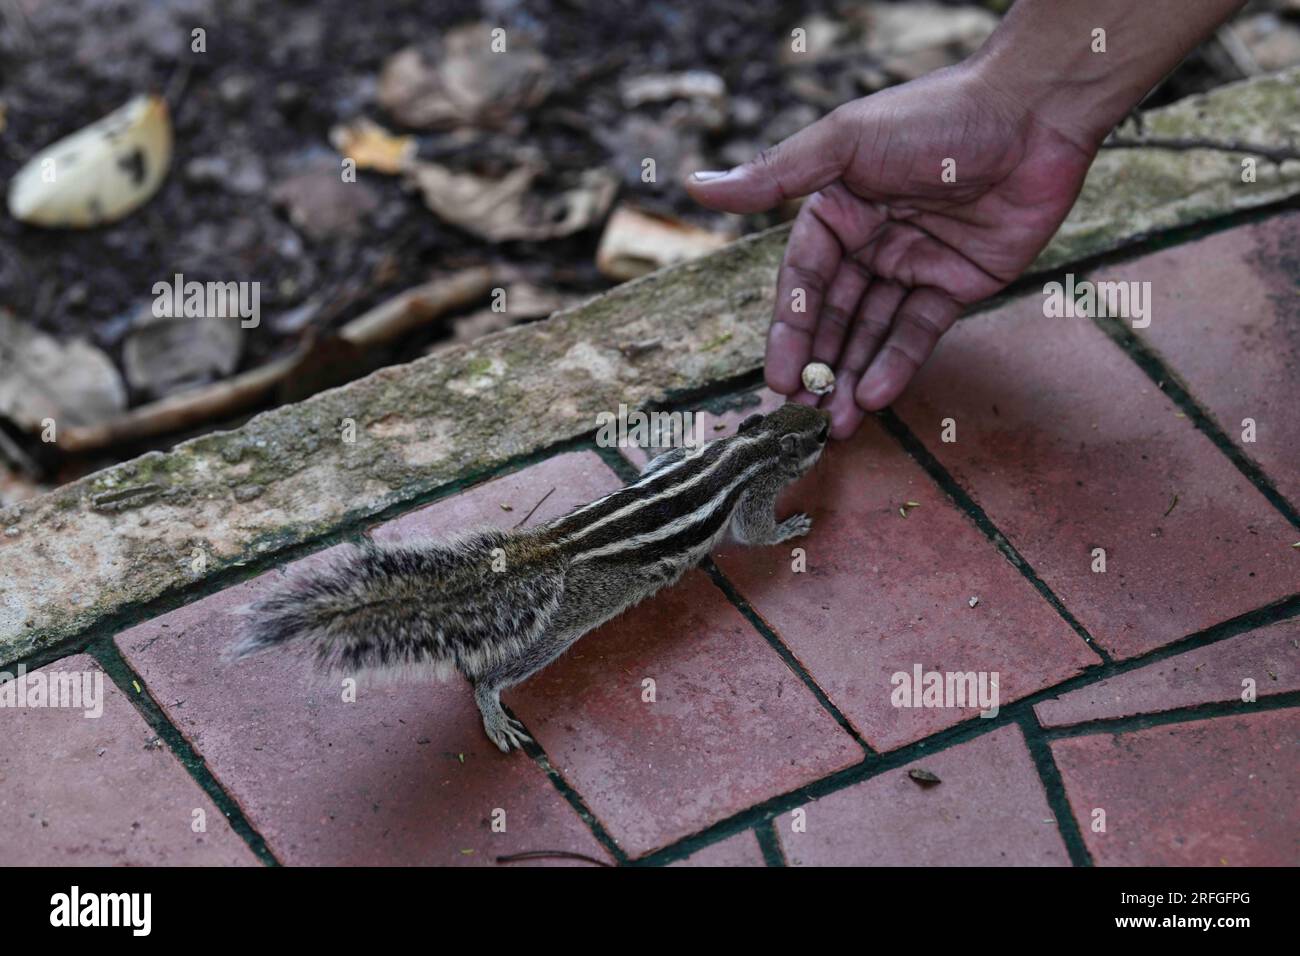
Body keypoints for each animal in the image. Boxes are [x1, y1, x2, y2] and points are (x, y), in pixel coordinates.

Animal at [234, 402, 830, 753]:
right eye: (820, 431)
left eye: (804, 409)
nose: (833, 416)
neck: (748, 447)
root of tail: (554, 548)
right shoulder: (753, 494)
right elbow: (754, 533)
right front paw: (791, 527)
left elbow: (660, 463)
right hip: (561, 627)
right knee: (498, 673)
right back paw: (493, 710)